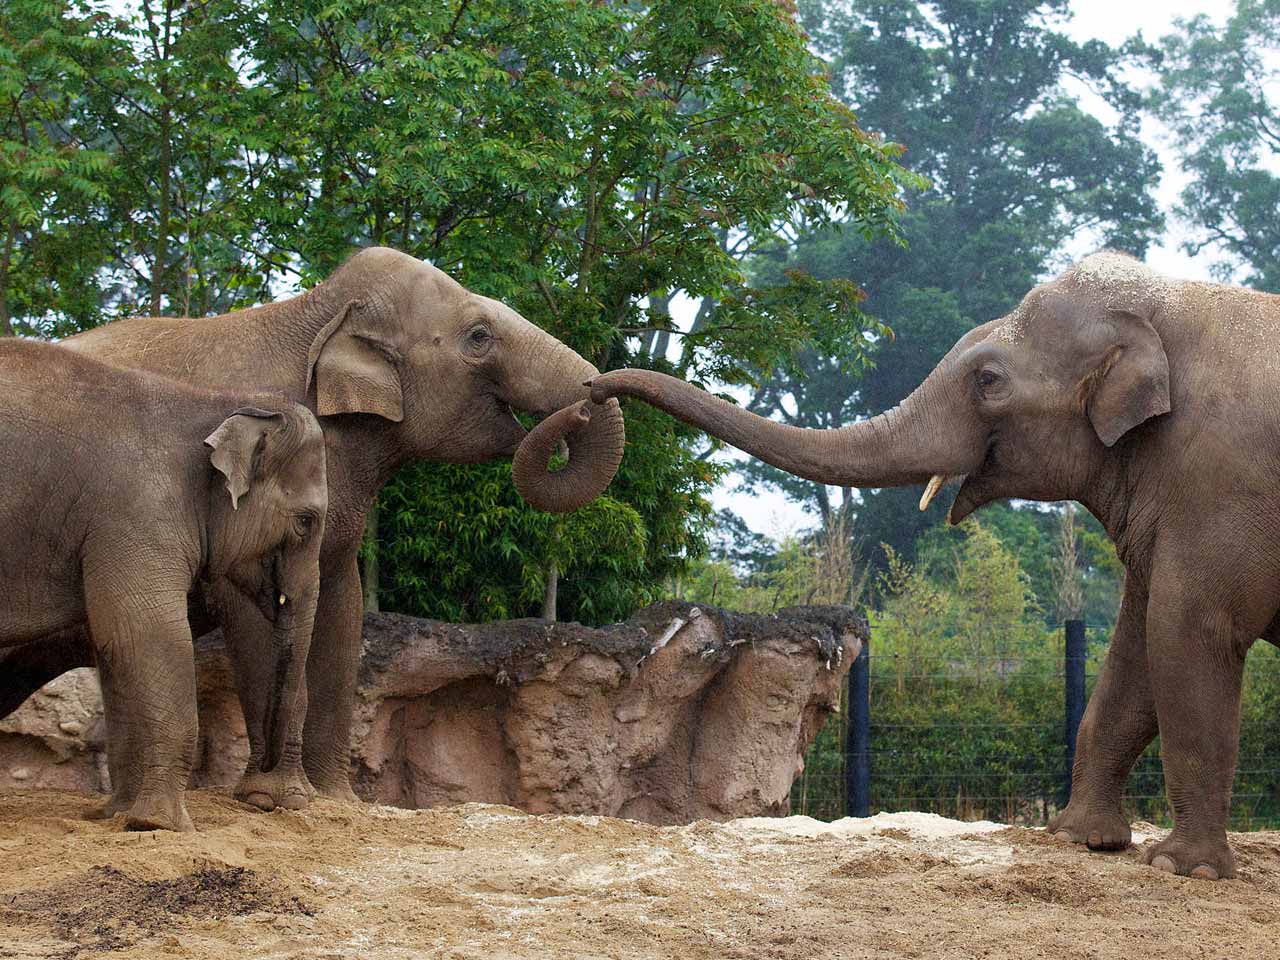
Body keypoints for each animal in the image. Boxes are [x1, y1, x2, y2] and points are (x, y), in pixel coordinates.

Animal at [0, 340, 327, 834]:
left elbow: (114, 646)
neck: (215, 400)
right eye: (307, 522)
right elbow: (147, 633)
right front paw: (162, 825)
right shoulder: (136, 513)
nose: (263, 801)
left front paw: (119, 816)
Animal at [527, 252, 1280, 885]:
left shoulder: (1219, 484)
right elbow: (1136, 647)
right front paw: (1081, 840)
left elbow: (1187, 634)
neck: (1171, 300)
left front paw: (1184, 870)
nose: (588, 394)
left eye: (988, 380)